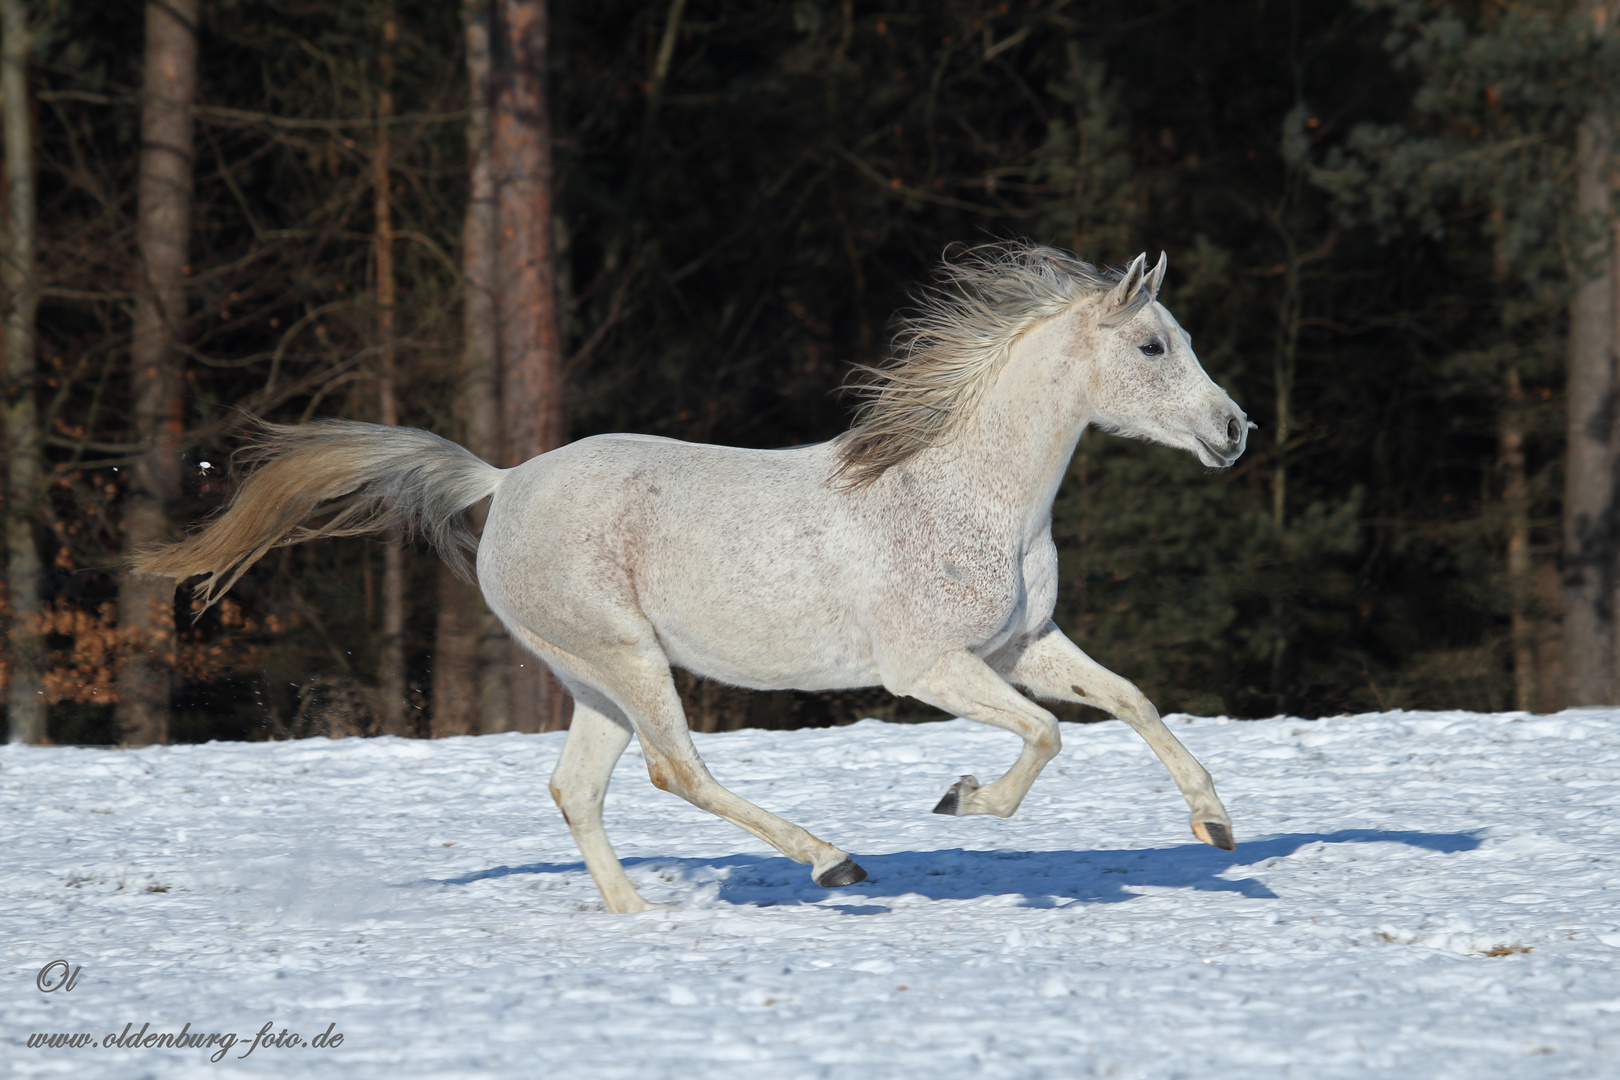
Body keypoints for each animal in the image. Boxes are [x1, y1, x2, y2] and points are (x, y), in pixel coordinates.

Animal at [139, 242, 1250, 913]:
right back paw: (830, 859)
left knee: (577, 788)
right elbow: (1049, 735)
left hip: (593, 677)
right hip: (626, 657)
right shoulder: (927, 667)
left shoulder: (1021, 646)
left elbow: (1131, 701)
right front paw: (963, 801)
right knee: (676, 770)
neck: (963, 491)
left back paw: (636, 913)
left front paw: (1217, 824)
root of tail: (504, 481)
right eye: (1154, 344)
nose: (1235, 431)